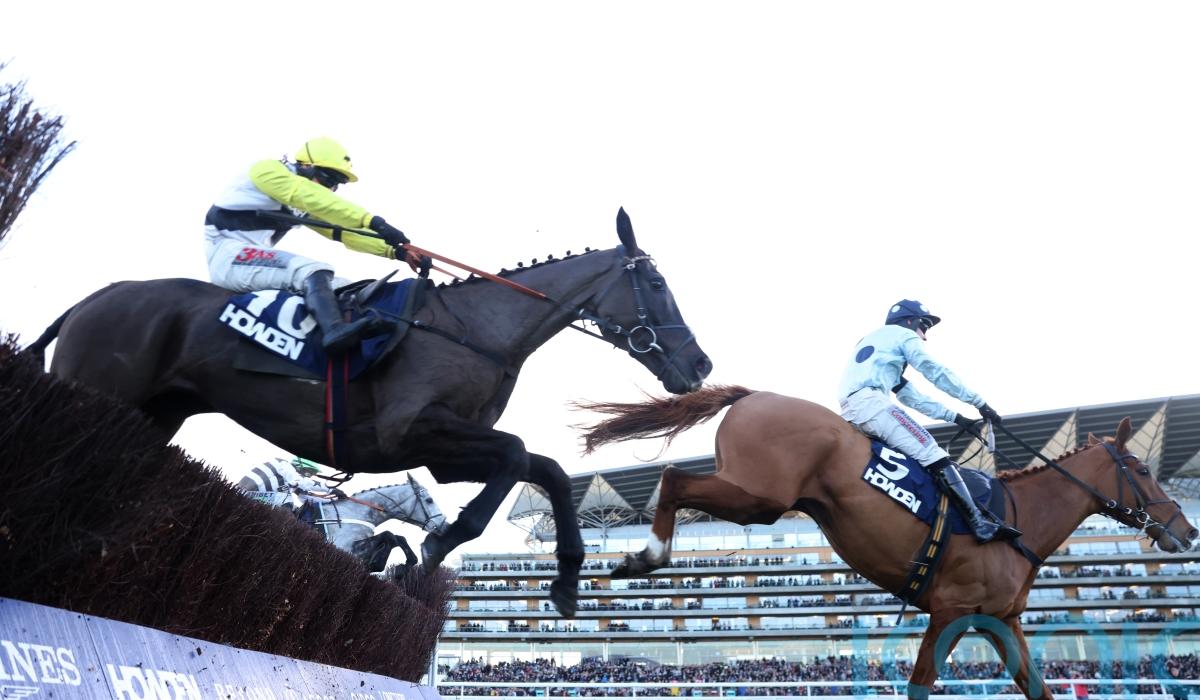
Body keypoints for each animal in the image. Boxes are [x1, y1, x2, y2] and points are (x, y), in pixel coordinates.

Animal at [27, 209, 712, 617]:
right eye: (656, 285)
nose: (701, 365)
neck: (475, 331)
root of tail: (95, 297)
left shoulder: (448, 454)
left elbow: (541, 467)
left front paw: (567, 577)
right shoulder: (409, 432)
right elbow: (518, 457)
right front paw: (440, 543)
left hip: (152, 412)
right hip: (95, 388)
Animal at [577, 386, 1198, 700]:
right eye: (1143, 469)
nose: (1187, 530)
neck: (1018, 519)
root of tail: (753, 394)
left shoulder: (1000, 621)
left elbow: (1038, 689)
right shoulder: (950, 612)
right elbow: (920, 688)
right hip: (762, 496)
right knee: (673, 478)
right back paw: (646, 554)